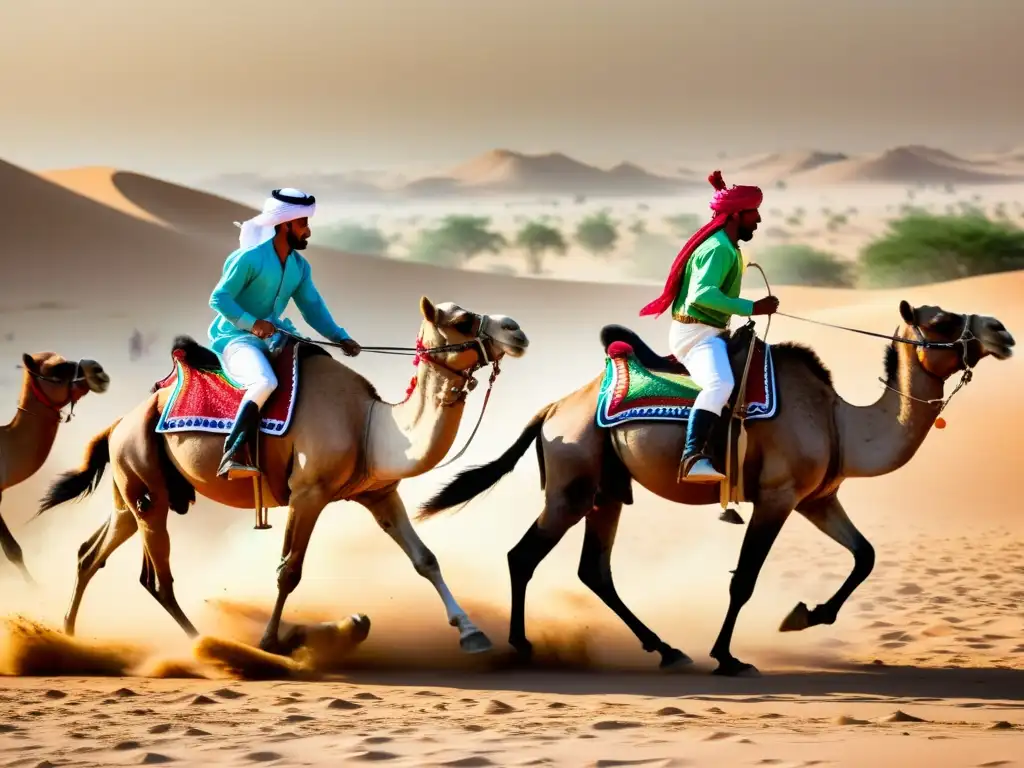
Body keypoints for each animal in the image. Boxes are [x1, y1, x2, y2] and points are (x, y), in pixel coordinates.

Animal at [34, 299, 528, 655]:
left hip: (132, 490)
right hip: (146, 484)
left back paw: (68, 632)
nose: (516, 330)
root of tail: (118, 423)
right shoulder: (308, 493)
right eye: (462, 320)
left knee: (91, 553)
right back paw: (204, 642)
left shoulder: (379, 494)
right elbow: (288, 571)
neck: (369, 426)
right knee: (158, 578)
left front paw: (471, 633)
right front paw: (272, 640)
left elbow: (426, 559)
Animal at [415, 303, 1015, 679]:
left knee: (594, 570)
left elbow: (865, 555)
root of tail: (553, 409)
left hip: (606, 489)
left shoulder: (817, 499)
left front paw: (804, 616)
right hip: (571, 483)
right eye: (942, 319)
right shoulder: (777, 496)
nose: (1002, 332)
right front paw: (729, 657)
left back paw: (666, 649)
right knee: (524, 555)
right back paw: (522, 645)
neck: (839, 421)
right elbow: (744, 580)